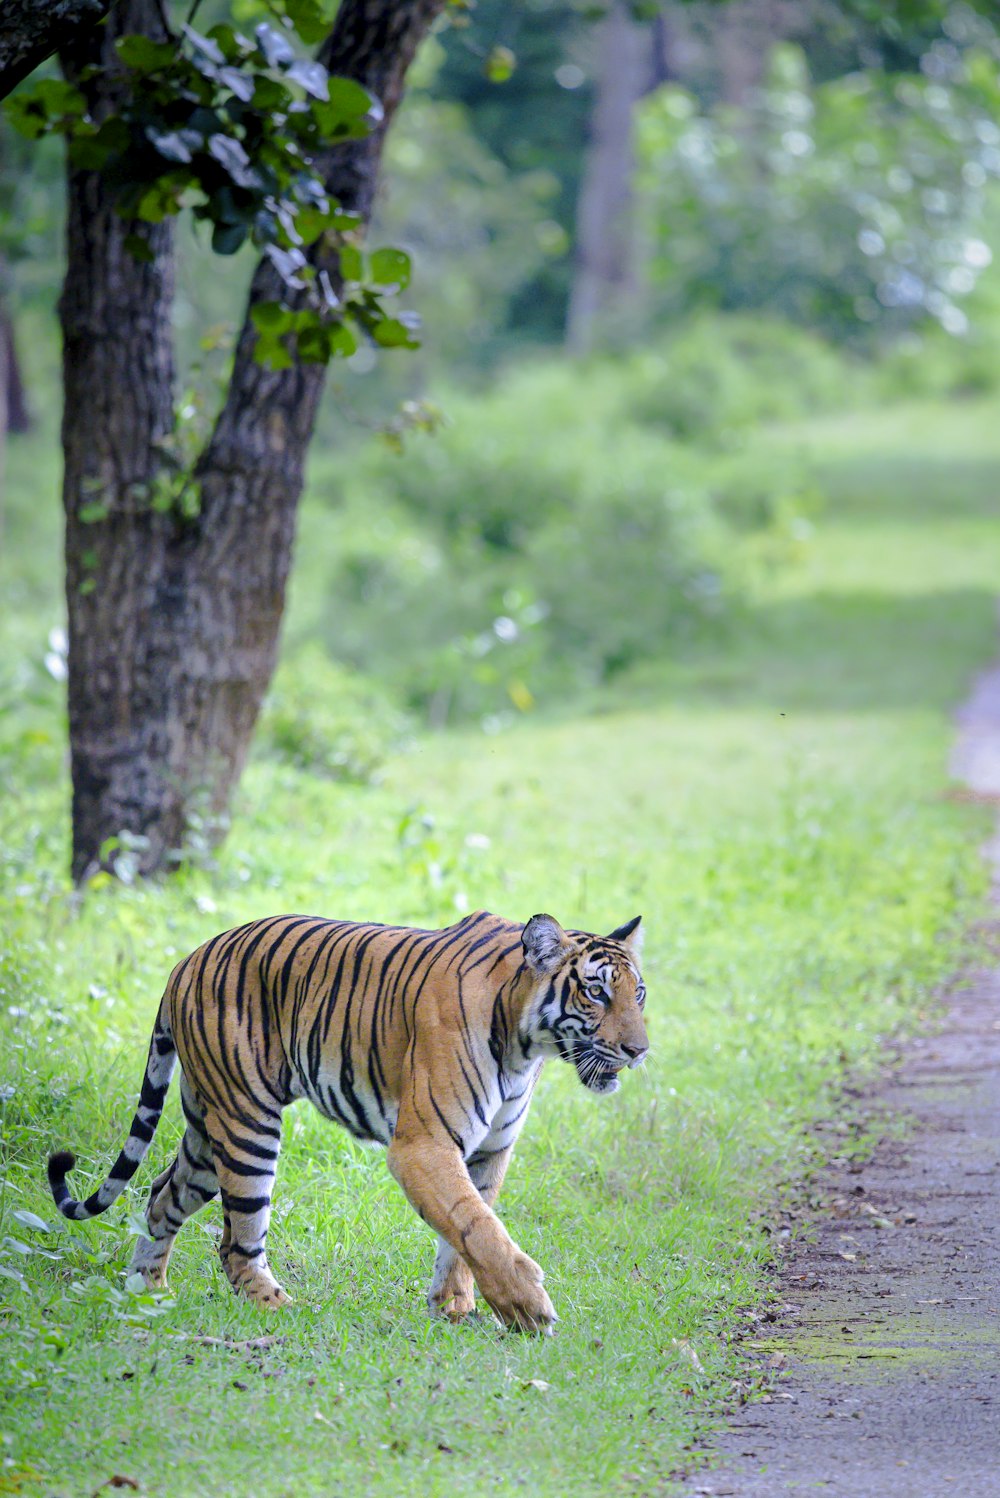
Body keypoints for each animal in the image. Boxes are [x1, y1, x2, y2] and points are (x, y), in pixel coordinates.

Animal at [48, 904, 649, 1330]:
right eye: (596, 992)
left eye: (639, 994)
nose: (640, 1051)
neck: (527, 1044)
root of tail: (186, 959)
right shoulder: (424, 1144)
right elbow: (476, 1224)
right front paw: (528, 1308)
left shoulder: (489, 1149)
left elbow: (466, 1227)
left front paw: (453, 1305)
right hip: (248, 1124)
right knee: (236, 1245)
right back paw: (283, 1309)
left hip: (206, 1125)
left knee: (161, 1195)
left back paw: (147, 1292)